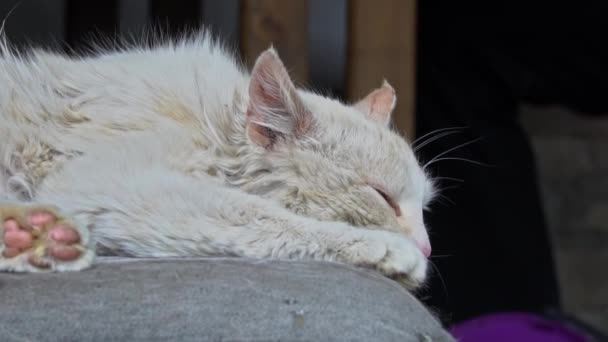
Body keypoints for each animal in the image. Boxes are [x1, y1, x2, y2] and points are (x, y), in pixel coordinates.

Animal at [0, 31, 436, 288]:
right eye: (383, 198)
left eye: (423, 208)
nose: (429, 247)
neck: (216, 126)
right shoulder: (101, 182)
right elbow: (263, 217)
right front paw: (388, 248)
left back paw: (32, 234)